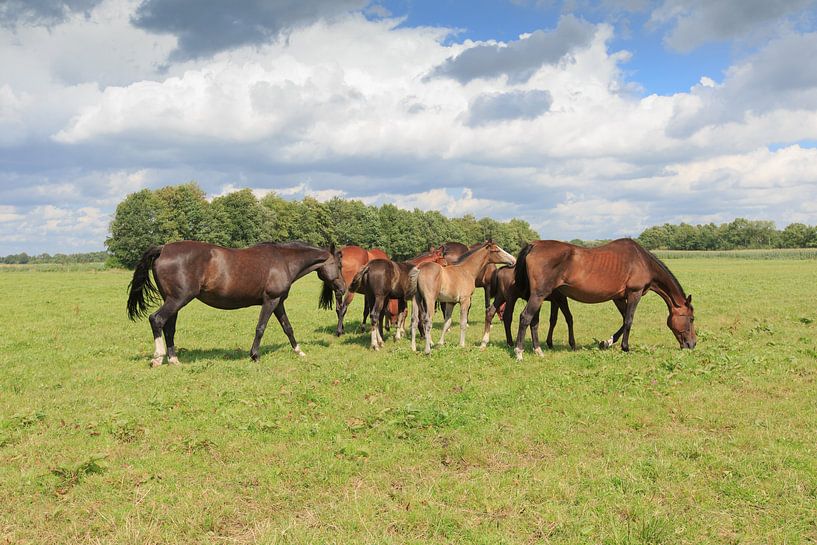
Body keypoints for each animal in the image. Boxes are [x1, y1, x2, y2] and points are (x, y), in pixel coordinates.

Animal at [127, 241, 345, 367]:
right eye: (339, 265)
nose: (343, 288)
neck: (283, 260)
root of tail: (163, 249)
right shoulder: (271, 300)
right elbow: (260, 328)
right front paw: (255, 355)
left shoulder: (278, 302)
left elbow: (288, 328)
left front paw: (299, 351)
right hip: (178, 299)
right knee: (156, 320)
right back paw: (158, 357)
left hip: (173, 300)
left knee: (169, 327)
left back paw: (173, 360)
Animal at [512, 239, 696, 361]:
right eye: (691, 319)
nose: (692, 344)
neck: (642, 261)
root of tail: (534, 245)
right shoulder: (634, 293)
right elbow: (629, 321)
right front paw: (625, 347)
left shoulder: (619, 298)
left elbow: (623, 321)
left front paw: (606, 343)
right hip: (539, 295)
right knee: (525, 317)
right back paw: (519, 352)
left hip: (540, 297)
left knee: (534, 321)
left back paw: (538, 350)